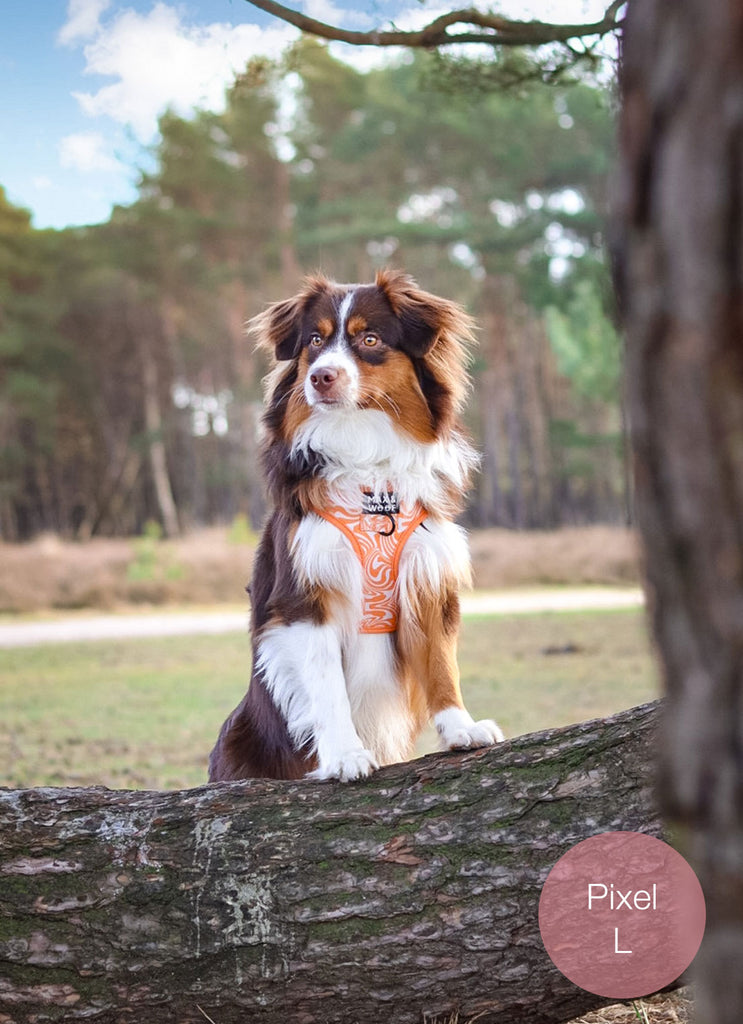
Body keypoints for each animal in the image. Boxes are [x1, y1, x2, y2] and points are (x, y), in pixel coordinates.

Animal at [206, 268, 503, 778]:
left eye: (369, 339)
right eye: (315, 340)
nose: (320, 376)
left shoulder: (426, 573)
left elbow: (441, 662)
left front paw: (461, 729)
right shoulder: (306, 595)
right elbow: (328, 688)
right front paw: (344, 755)